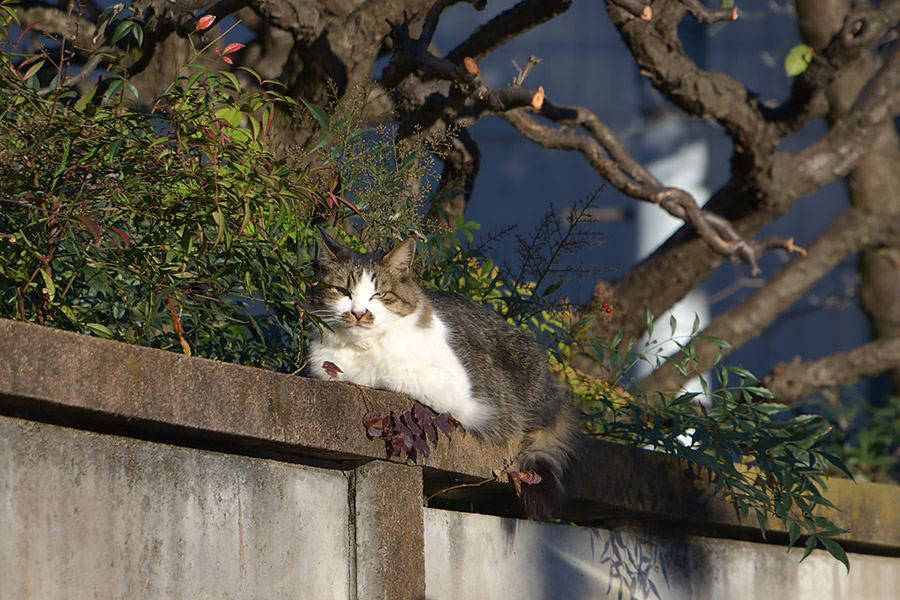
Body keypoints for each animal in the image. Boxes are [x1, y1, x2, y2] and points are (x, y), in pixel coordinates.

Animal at [306, 230, 580, 516]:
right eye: (342, 291)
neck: (363, 348)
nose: (358, 314)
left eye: (379, 294)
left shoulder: (460, 391)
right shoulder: (320, 363)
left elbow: (387, 375)